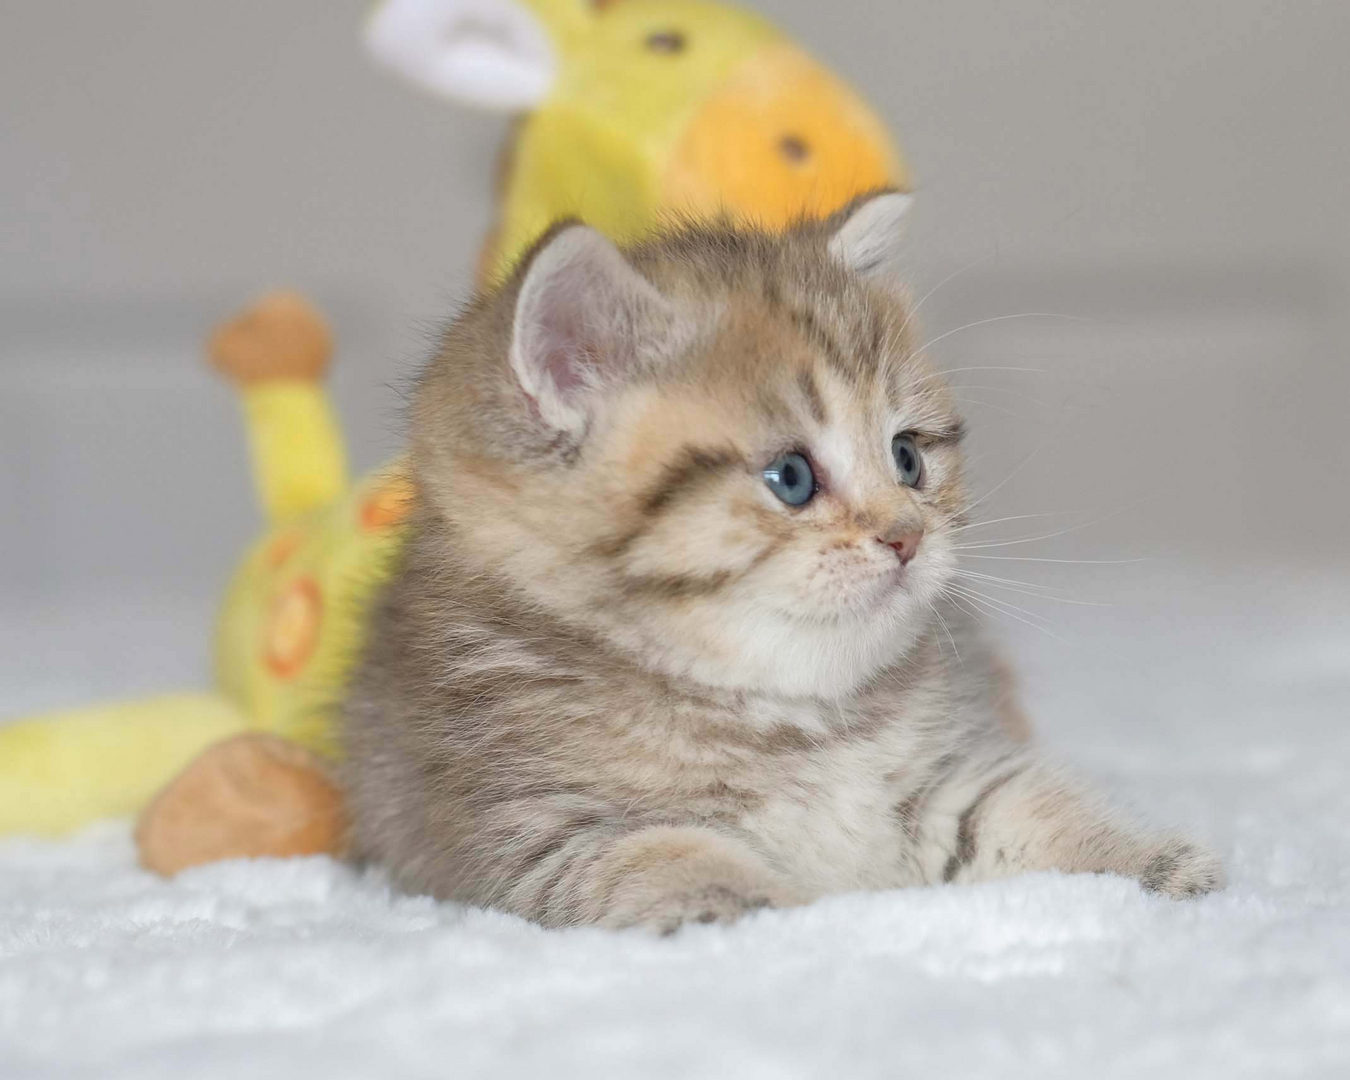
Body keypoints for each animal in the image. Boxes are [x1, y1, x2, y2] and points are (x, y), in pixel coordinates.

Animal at [340, 191, 1225, 928]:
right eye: (792, 477)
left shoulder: (946, 784)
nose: (907, 536)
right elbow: (670, 861)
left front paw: (1153, 863)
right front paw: (772, 920)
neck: (788, 716)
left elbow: (1028, 808)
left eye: (908, 457)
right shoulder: (541, 833)